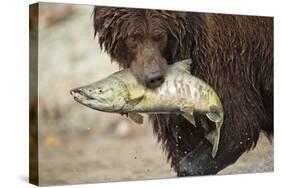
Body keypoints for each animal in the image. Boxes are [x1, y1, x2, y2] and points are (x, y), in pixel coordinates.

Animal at [93, 6, 272, 176]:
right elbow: (180, 135)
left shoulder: (225, 59)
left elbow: (238, 125)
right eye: (133, 38)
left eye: (159, 36)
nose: (154, 77)